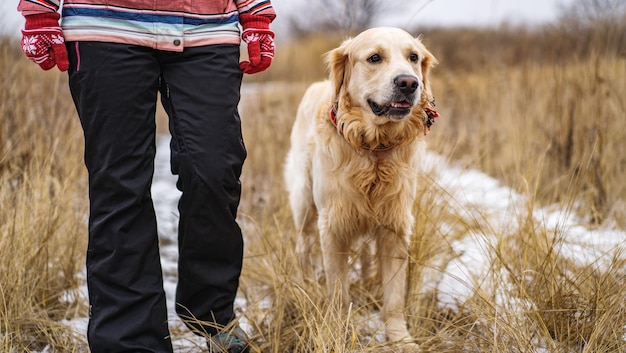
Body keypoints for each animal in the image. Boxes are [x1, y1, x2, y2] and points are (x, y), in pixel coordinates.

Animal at [284, 26, 436, 344]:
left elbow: (394, 296)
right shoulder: (332, 226)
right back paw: (305, 283)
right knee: (302, 245)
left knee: (366, 251)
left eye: (413, 57)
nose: (409, 83)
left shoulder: (395, 225)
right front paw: (337, 331)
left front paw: (400, 339)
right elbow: (338, 293)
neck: (374, 149)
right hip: (304, 202)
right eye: (374, 58)